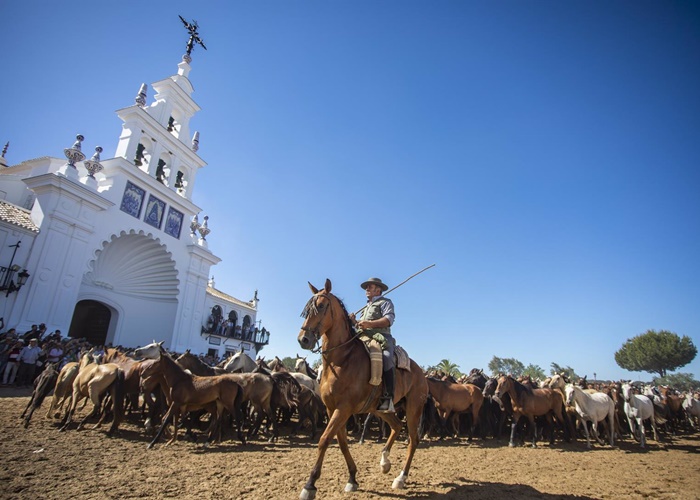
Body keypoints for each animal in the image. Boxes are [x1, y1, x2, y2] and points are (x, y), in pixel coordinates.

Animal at [296, 280, 426, 498]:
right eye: (306, 310)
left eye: (321, 306)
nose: (303, 339)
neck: (342, 359)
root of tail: (422, 373)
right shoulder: (332, 409)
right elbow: (341, 442)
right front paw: (352, 478)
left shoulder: (343, 409)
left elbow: (324, 440)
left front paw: (310, 484)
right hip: (380, 409)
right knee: (396, 426)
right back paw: (385, 462)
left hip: (414, 408)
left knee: (413, 439)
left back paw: (401, 477)